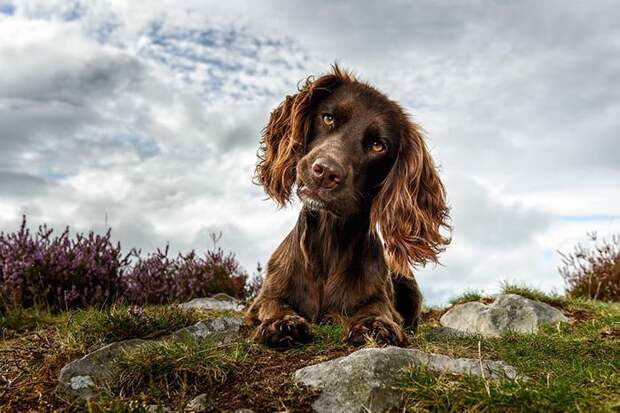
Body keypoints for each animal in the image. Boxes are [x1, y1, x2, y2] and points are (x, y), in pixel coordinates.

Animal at [246, 66, 450, 346]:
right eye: (328, 118)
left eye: (378, 145)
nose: (325, 172)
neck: (329, 239)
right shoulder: (265, 296)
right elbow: (272, 304)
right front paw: (282, 323)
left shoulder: (380, 298)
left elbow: (377, 309)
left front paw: (373, 325)